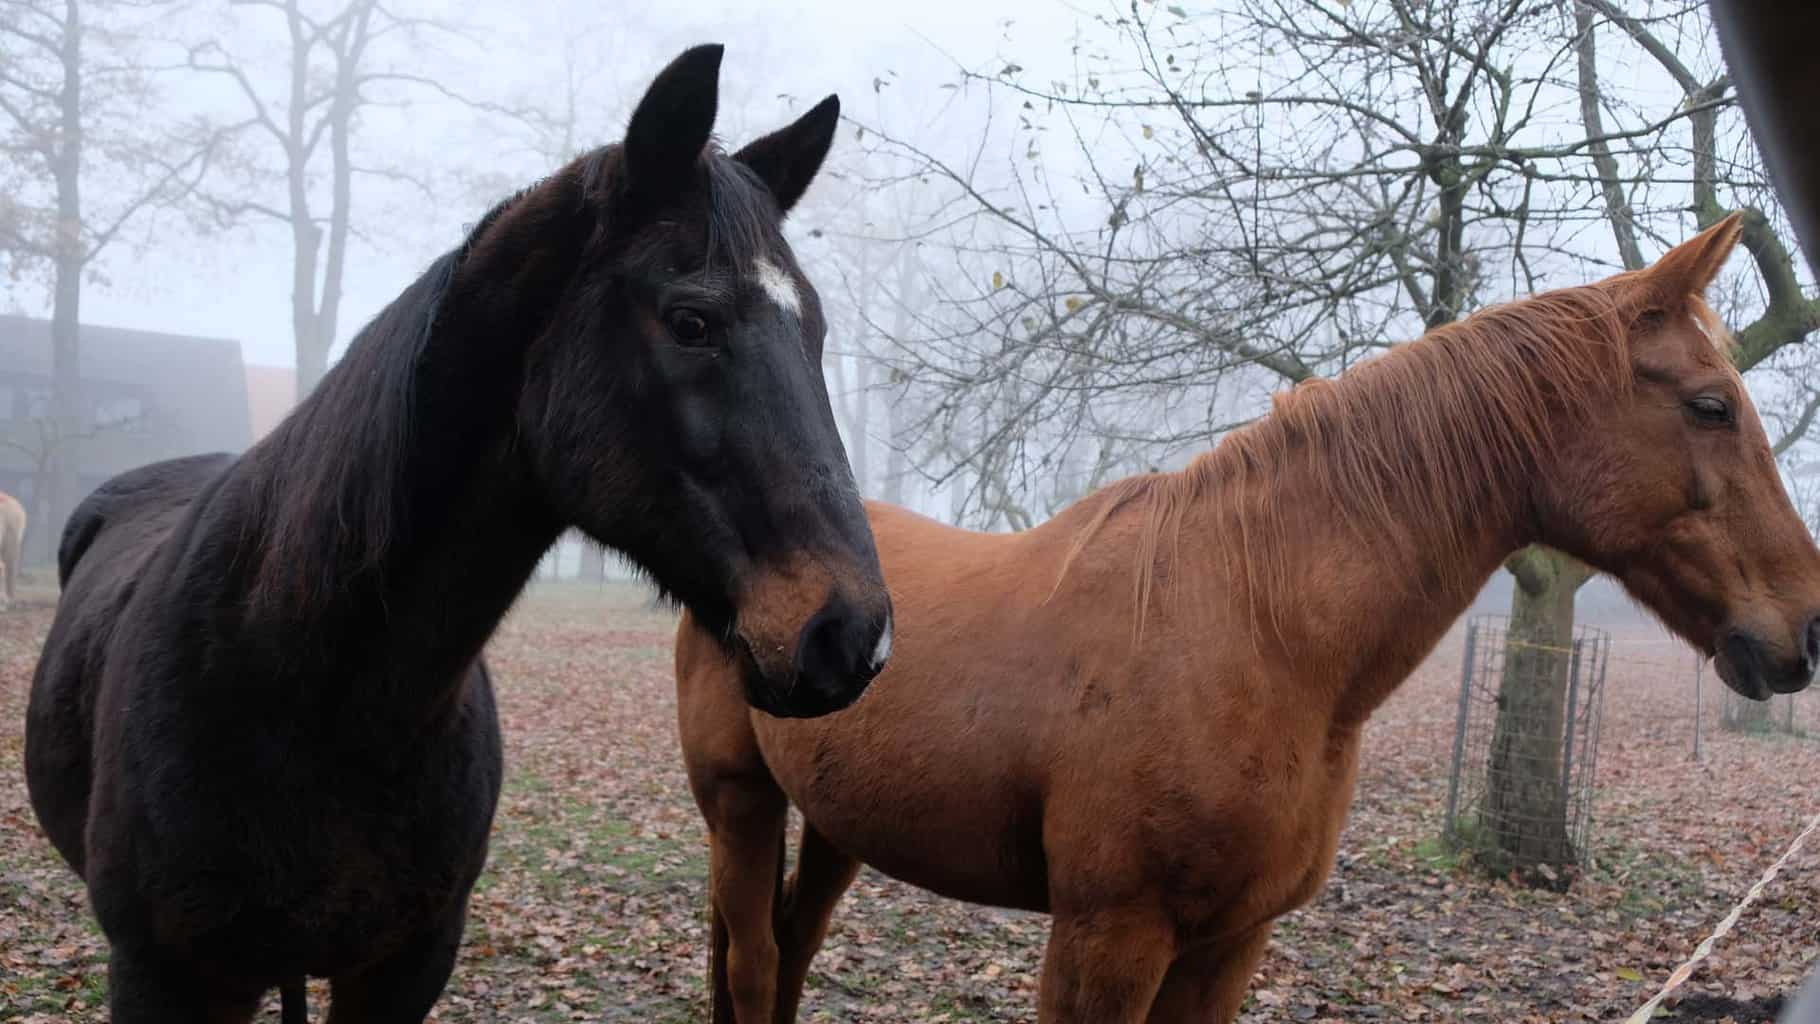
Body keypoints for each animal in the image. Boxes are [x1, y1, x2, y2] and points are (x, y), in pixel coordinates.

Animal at [21, 44, 888, 1024]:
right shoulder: (165, 976)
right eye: (691, 321)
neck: (307, 687)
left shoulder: (406, 965)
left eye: (814, 329)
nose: (852, 635)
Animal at [677, 218, 1820, 1024]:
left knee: (785, 956)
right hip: (740, 804)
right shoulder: (1107, 935)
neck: (1256, 630)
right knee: (753, 966)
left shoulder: (1229, 941)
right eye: (1710, 405)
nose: (1805, 631)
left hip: (837, 822)